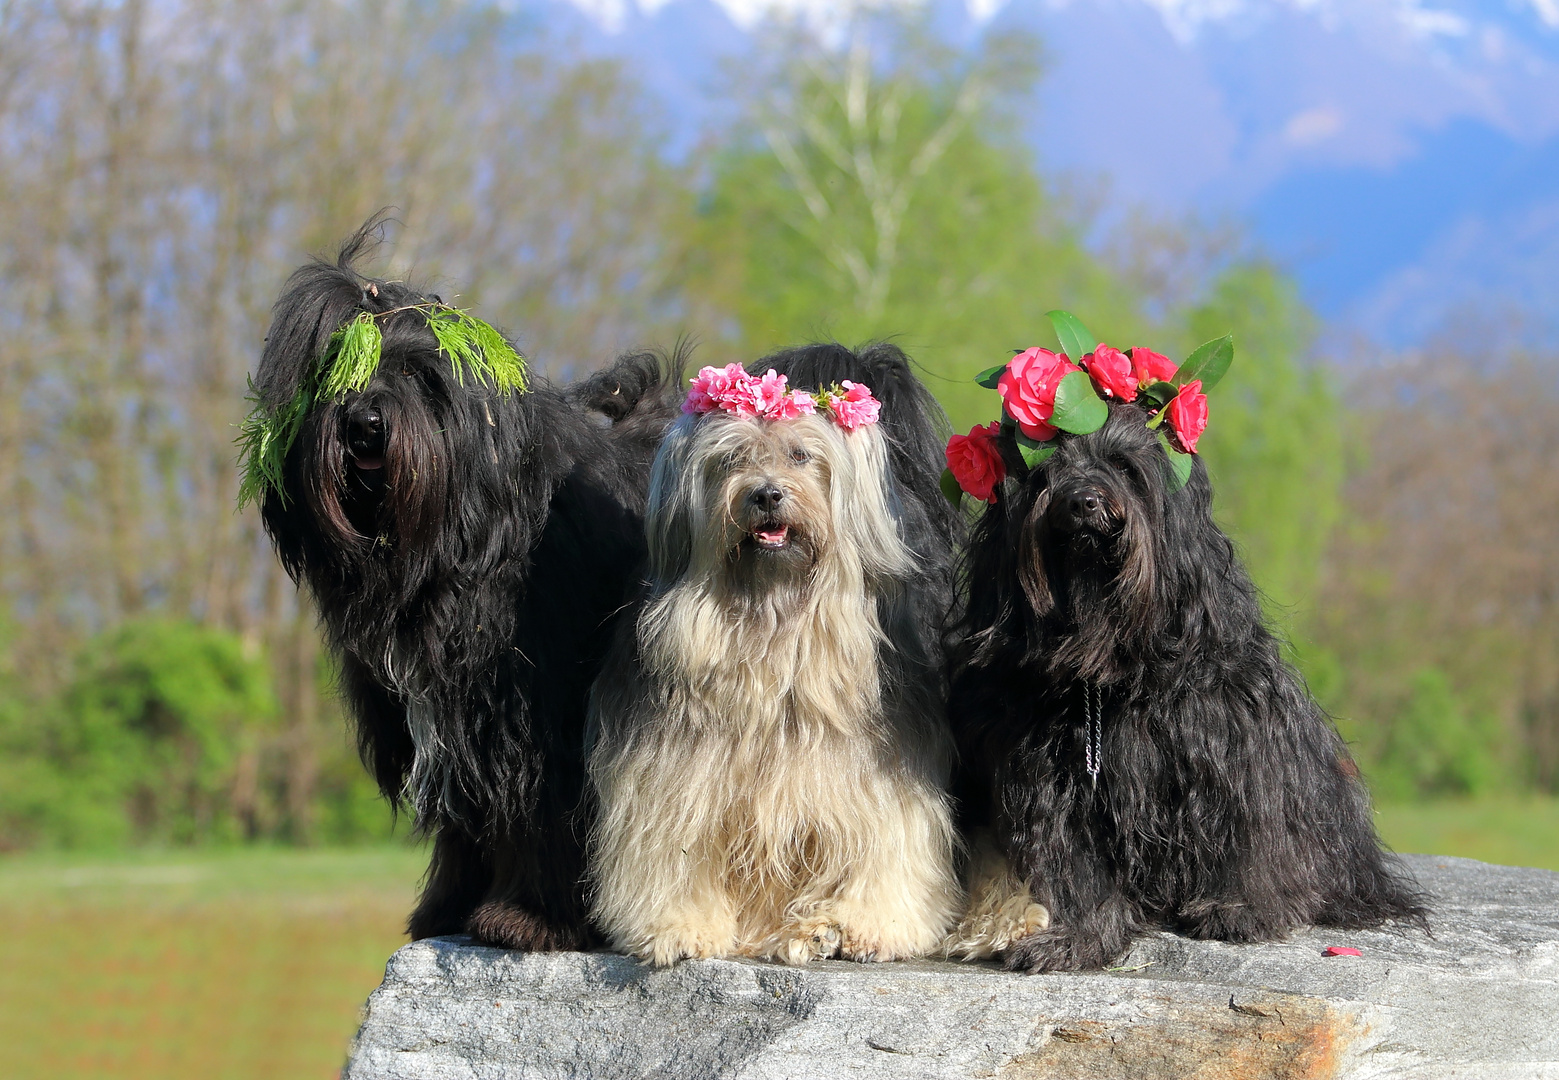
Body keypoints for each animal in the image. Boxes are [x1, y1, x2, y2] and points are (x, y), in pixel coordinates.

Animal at [247, 222, 676, 947]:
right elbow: (465, 819)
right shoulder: (443, 717)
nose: (363, 423)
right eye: (333, 372)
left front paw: (528, 919)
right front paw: (446, 908)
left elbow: (545, 806)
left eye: (418, 375)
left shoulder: (539, 708)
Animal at [947, 402, 1428, 966]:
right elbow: (1076, 864)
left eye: (1124, 467)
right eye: (1043, 473)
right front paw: (1080, 934)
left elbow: (1251, 833)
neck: (1107, 662)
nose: (1082, 502)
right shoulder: (1052, 778)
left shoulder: (1235, 745)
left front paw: (1242, 906)